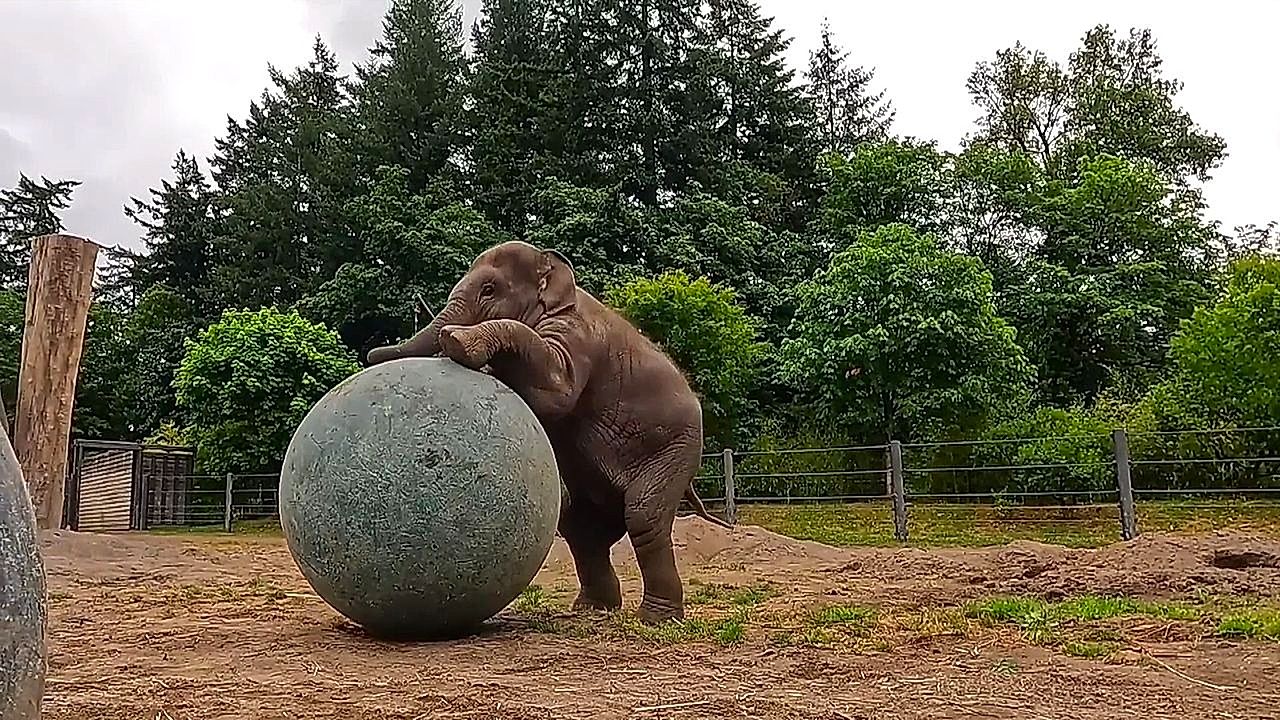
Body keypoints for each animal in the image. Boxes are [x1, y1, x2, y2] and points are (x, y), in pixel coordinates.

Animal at [365, 240, 730, 623]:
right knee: (582, 529)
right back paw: (593, 608)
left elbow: (556, 389)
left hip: (676, 447)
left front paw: (458, 343)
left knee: (644, 516)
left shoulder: (576, 336)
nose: (371, 352)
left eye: (489, 289)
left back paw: (656, 618)